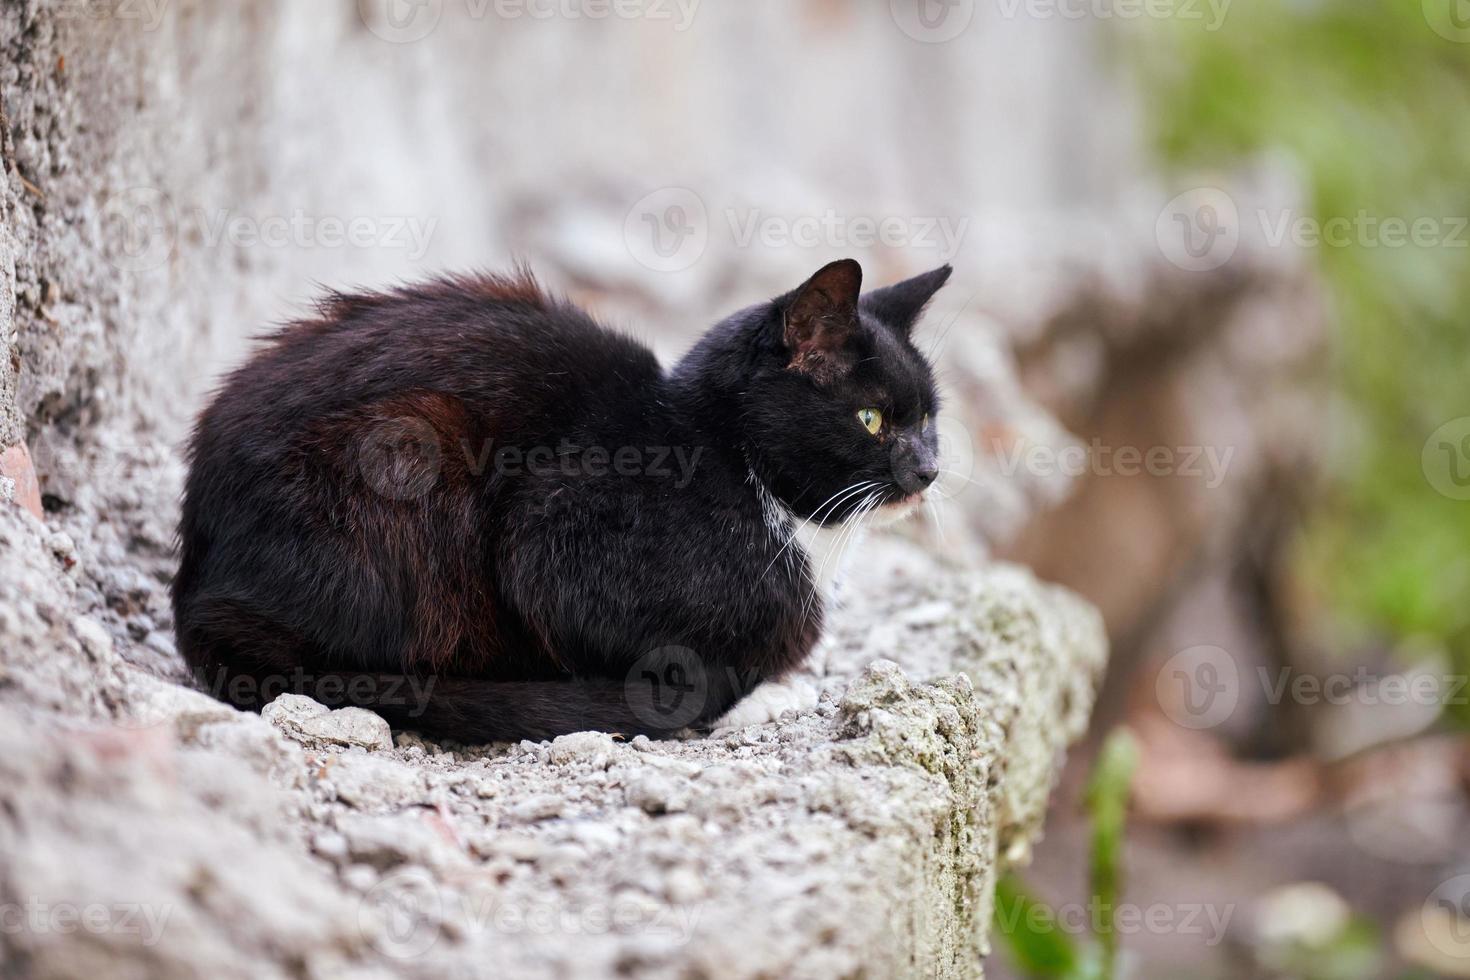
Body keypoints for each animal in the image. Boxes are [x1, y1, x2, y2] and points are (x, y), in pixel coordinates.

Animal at [171, 257, 946, 740]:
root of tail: (198, 582)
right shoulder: (555, 535)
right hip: (410, 445)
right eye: (872, 419)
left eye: (928, 419)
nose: (929, 469)